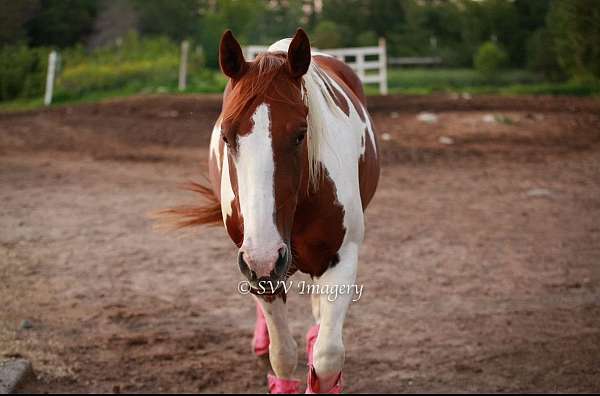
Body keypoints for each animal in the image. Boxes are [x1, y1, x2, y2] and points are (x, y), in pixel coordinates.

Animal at [164, 29, 380, 394]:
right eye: (226, 136)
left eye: (300, 134)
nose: (265, 256)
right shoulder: (258, 265)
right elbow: (282, 354)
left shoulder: (341, 258)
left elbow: (327, 358)